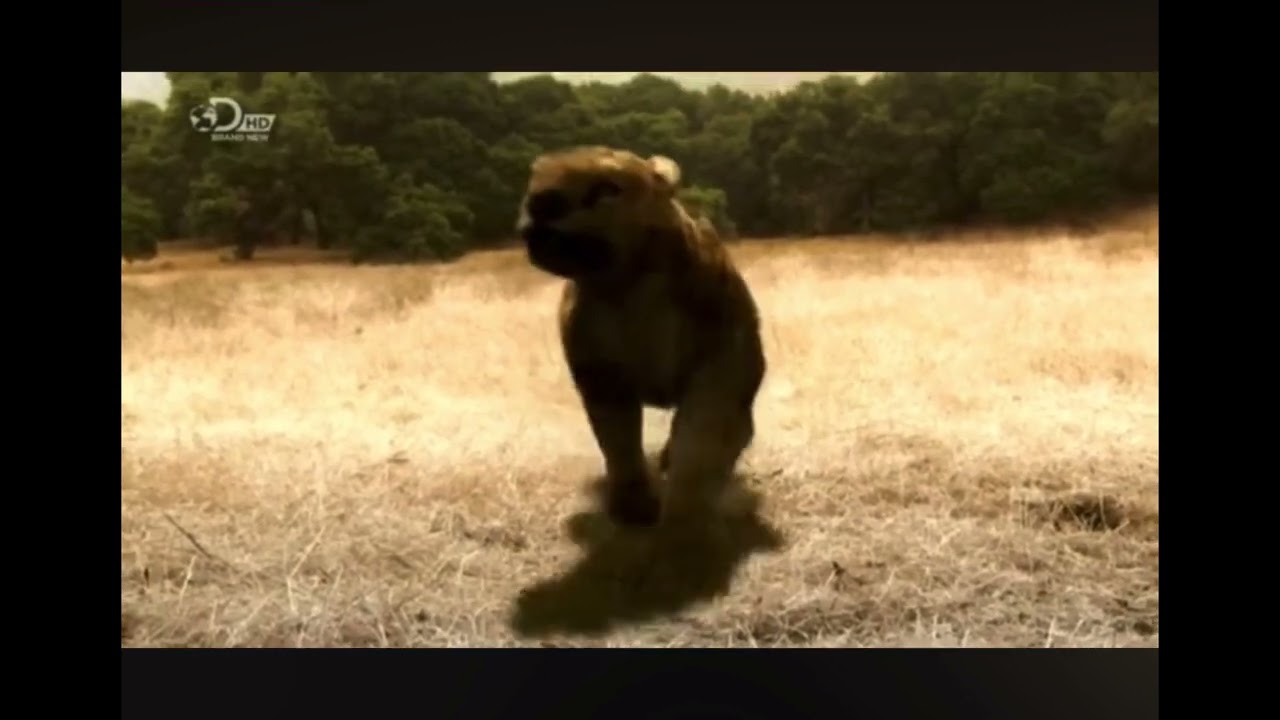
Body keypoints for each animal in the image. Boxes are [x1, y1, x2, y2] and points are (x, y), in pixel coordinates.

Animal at [516, 145, 767, 529]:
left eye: (607, 188)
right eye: (537, 177)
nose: (540, 201)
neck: (629, 286)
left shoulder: (722, 366)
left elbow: (701, 441)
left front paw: (685, 518)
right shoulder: (602, 378)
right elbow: (619, 443)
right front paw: (634, 506)